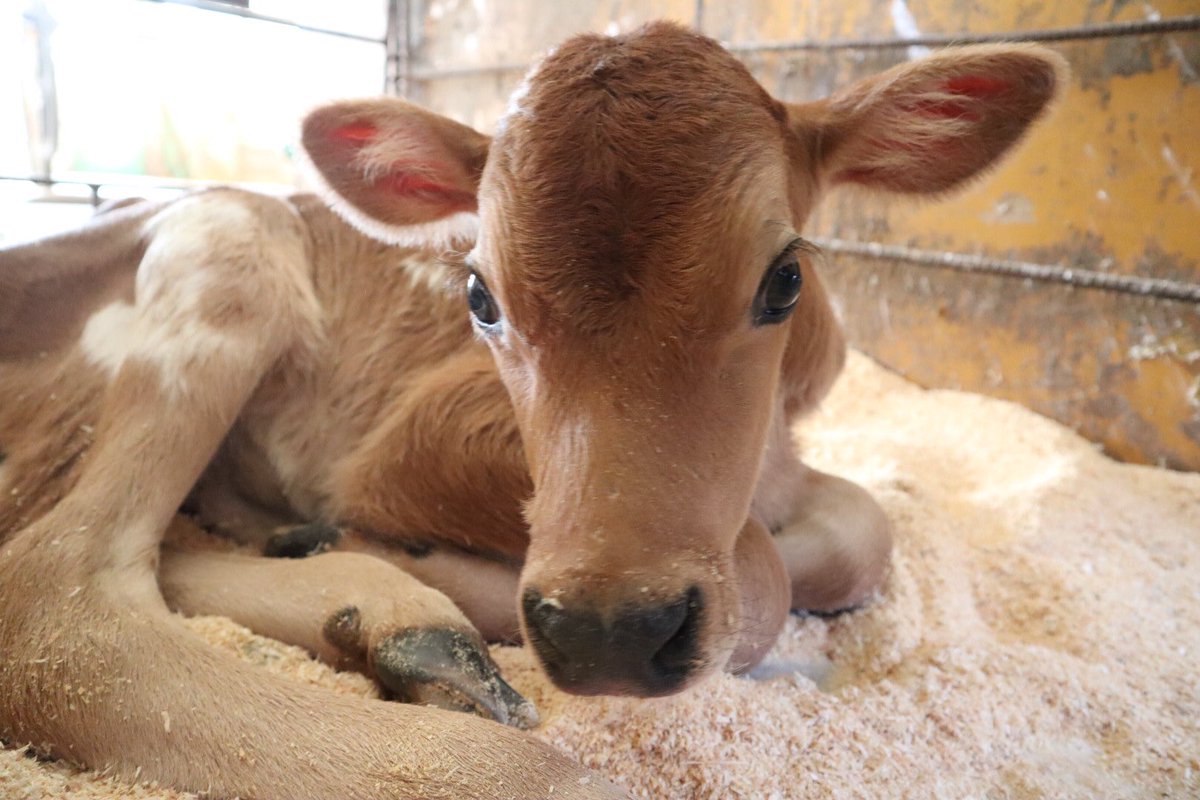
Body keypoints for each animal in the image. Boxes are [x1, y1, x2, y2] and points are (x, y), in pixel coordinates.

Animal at [0, 21, 1060, 800]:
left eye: (786, 278)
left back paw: (383, 608)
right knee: (52, 596)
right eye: (478, 295)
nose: (608, 632)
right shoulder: (412, 444)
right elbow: (760, 576)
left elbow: (864, 529)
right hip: (230, 236)